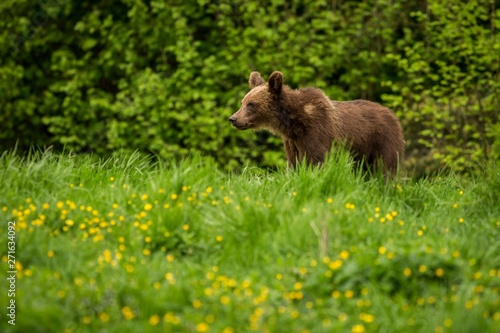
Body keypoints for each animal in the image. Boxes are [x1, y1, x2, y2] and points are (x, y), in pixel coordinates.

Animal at [229, 70, 404, 174]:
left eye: (251, 104)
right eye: (242, 102)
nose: (233, 119)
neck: (294, 123)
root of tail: (391, 113)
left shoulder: (317, 132)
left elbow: (316, 161)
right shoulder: (292, 142)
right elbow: (293, 164)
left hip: (381, 141)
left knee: (385, 169)